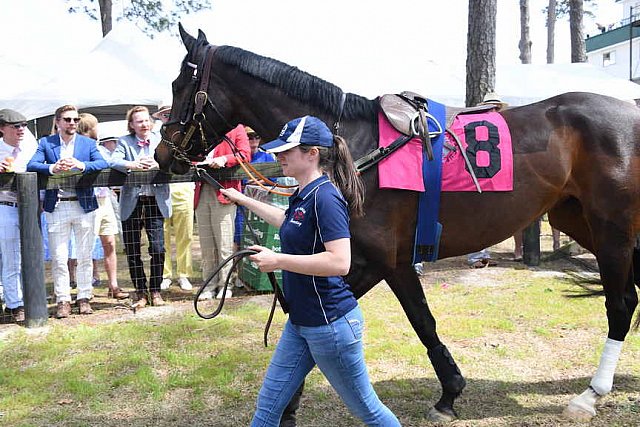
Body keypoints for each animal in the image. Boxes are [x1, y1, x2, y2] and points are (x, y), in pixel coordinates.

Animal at [159, 25, 640, 422]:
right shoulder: (387, 262)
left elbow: (389, 322)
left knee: (621, 303)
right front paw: (449, 392)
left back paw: (591, 394)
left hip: (611, 228)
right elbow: (401, 321)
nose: (164, 155)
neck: (351, 146)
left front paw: (289, 406)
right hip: (577, 218)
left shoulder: (380, 261)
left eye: (180, 85)